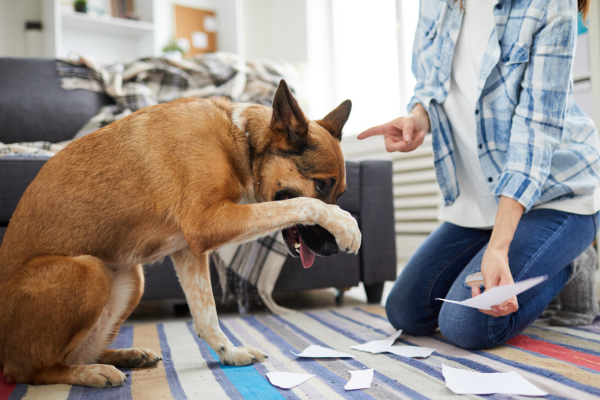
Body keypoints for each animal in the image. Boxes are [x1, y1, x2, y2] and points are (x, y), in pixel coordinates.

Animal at [0, 81, 358, 388]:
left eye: (340, 192)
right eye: (321, 185)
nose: (331, 250)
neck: (241, 140)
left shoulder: (189, 250)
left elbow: (206, 314)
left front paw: (230, 353)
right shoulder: (207, 223)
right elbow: (300, 203)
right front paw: (346, 224)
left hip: (132, 277)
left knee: (76, 353)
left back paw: (126, 355)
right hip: (89, 270)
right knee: (36, 369)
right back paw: (92, 373)